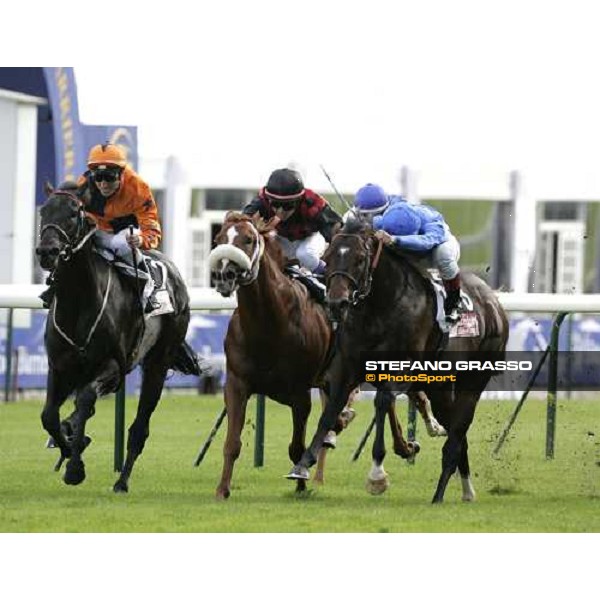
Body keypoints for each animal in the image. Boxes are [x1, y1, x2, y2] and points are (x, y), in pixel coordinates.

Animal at [36, 183, 200, 492]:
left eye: (74, 213)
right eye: (43, 210)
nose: (47, 251)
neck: (78, 300)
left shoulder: (113, 366)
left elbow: (86, 399)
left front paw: (75, 467)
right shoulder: (59, 366)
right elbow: (49, 416)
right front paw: (70, 445)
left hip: (158, 363)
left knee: (139, 428)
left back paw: (122, 481)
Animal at [210, 213, 342, 500]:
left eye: (249, 239)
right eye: (218, 239)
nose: (224, 275)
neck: (268, 326)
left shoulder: (300, 393)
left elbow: (296, 447)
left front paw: (301, 484)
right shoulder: (236, 384)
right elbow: (232, 443)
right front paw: (222, 489)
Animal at [288, 218, 508, 504]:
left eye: (360, 259)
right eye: (327, 257)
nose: (337, 304)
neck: (381, 307)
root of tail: (494, 301)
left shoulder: (405, 371)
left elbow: (382, 402)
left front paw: (377, 475)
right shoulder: (348, 367)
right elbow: (331, 410)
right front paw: (303, 464)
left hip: (473, 381)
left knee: (457, 434)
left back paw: (439, 495)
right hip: (439, 387)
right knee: (457, 433)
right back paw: (467, 490)